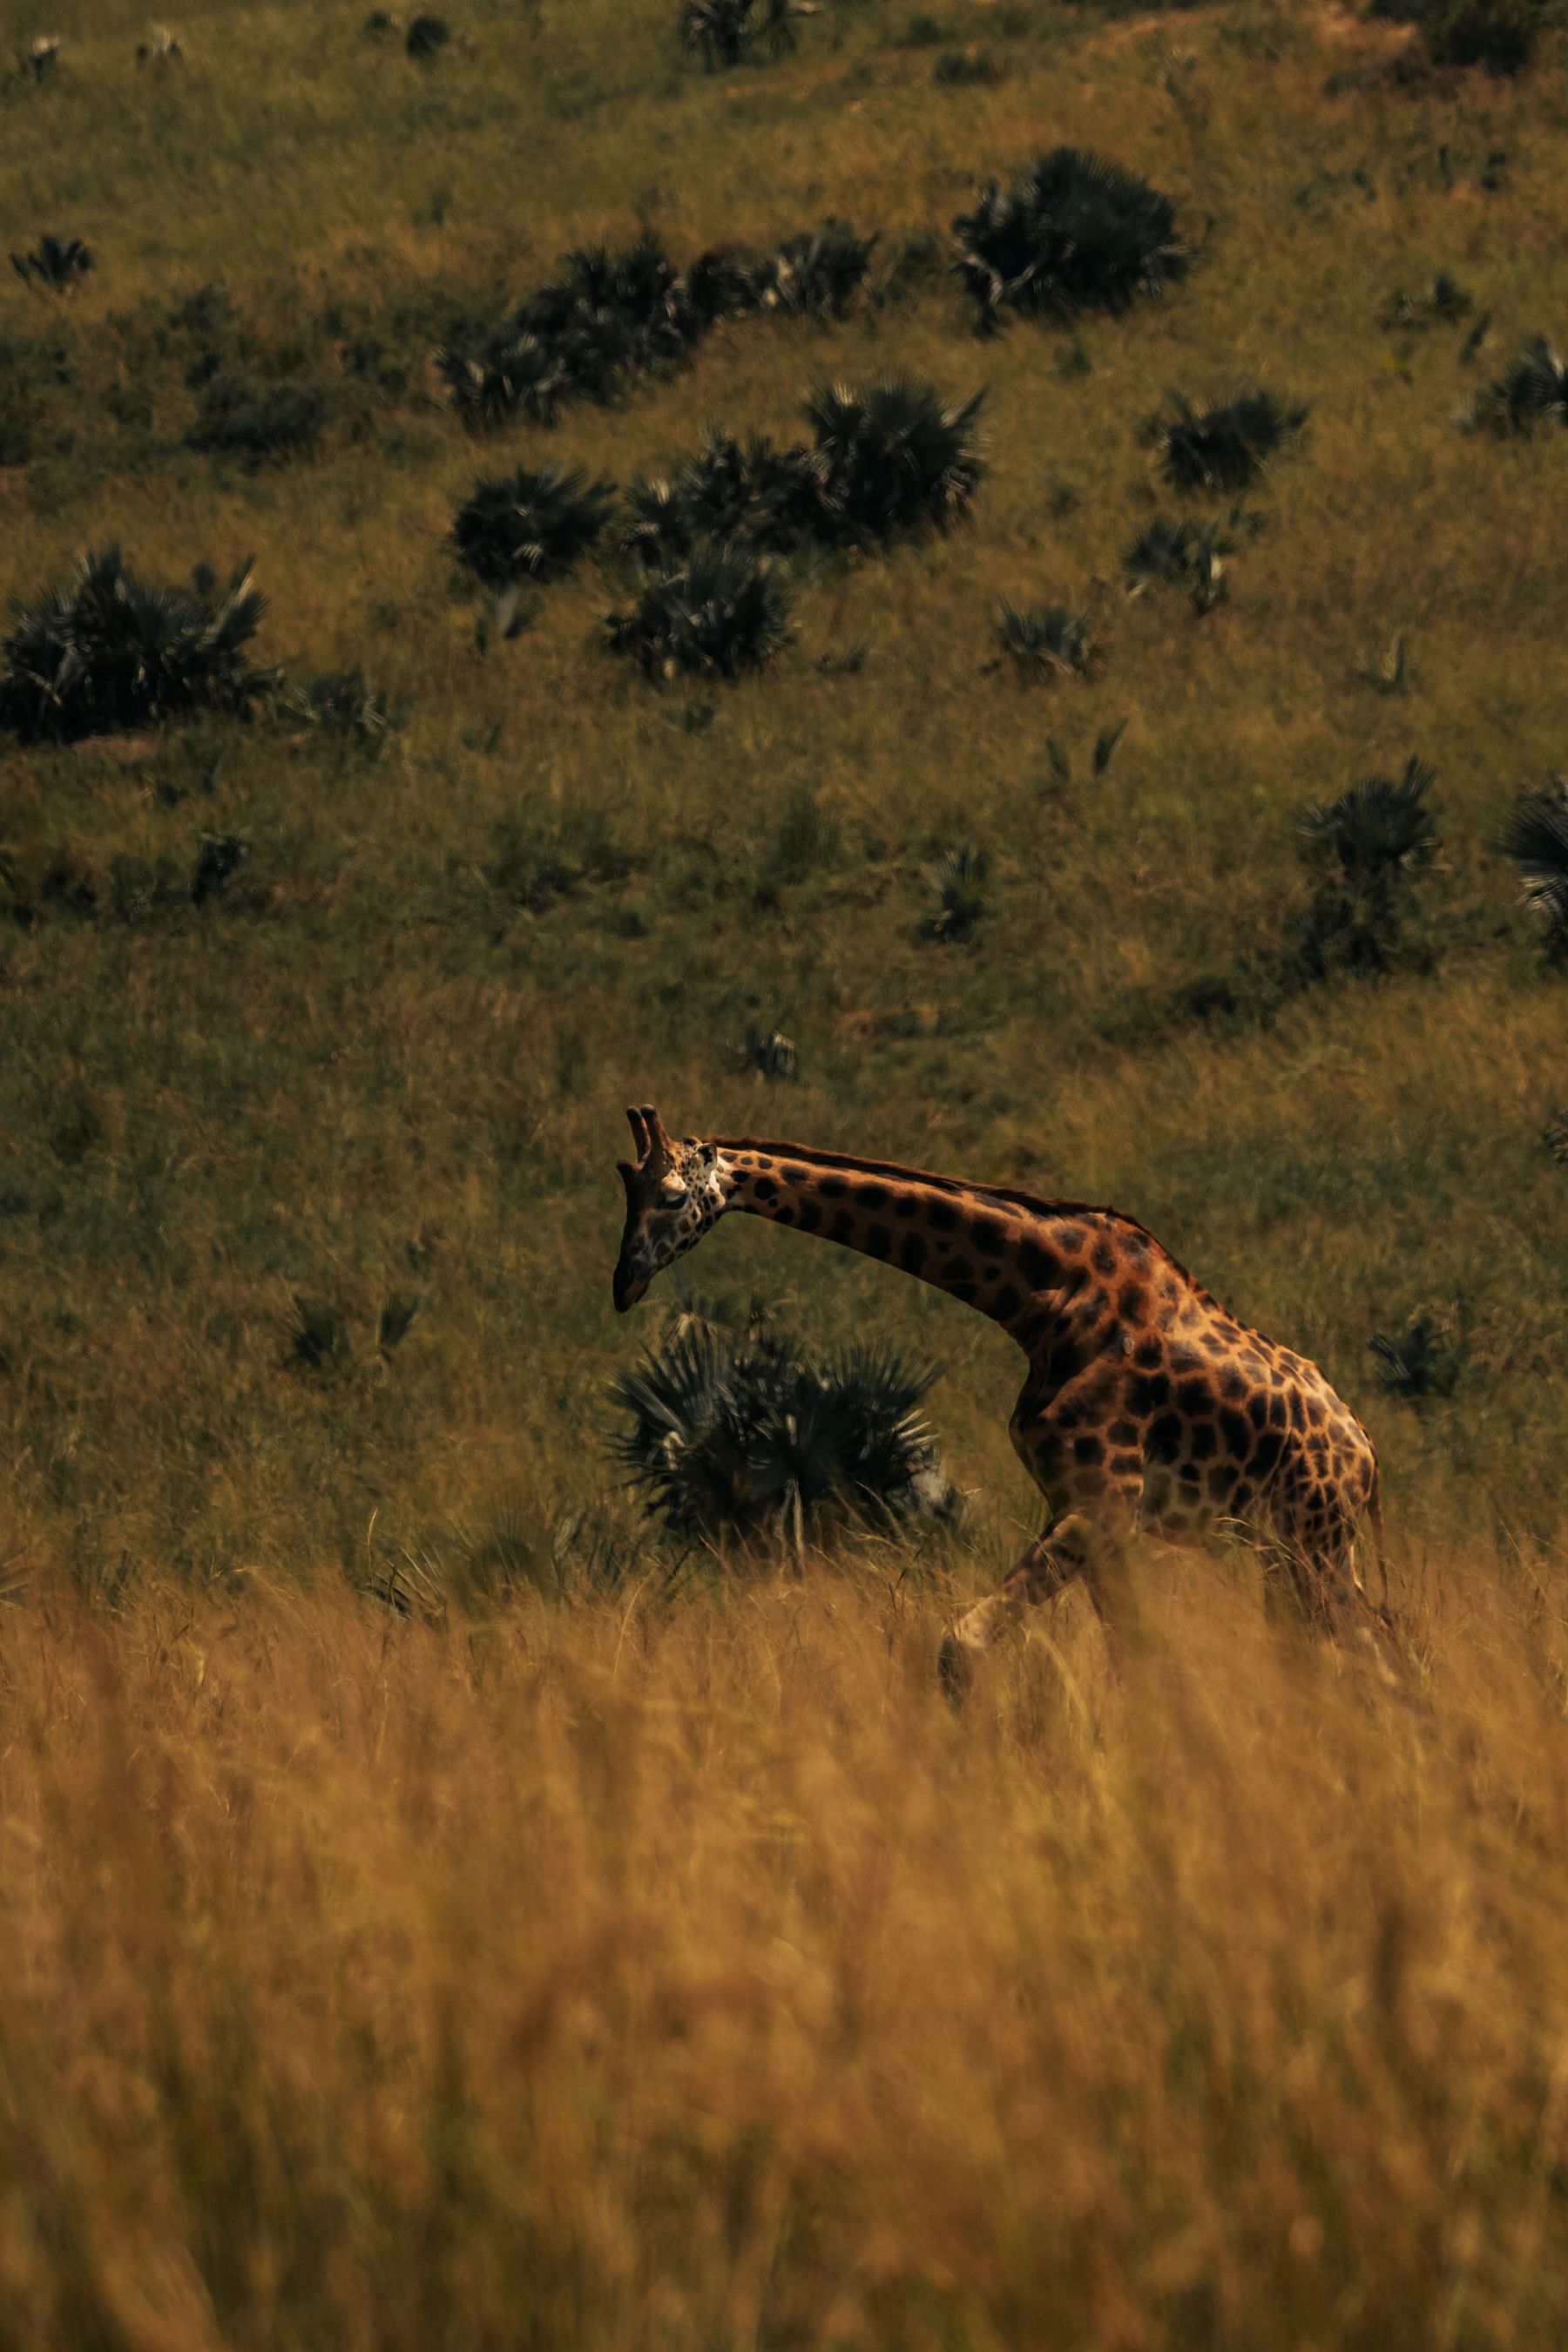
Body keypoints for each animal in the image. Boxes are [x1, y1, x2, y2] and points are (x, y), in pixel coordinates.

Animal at [611, 1106, 1395, 1688]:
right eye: (624, 1190)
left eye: (673, 1196)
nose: (624, 1282)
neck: (1043, 1300)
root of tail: (1366, 1453)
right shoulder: (1081, 1506)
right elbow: (1131, 1664)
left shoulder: (1101, 1505)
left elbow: (960, 1649)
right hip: (1292, 1545)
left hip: (1313, 1542)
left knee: (1374, 1654)